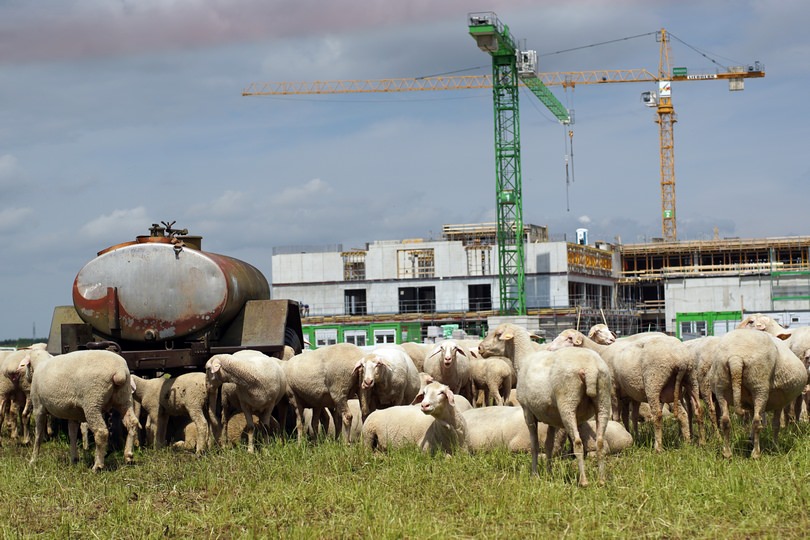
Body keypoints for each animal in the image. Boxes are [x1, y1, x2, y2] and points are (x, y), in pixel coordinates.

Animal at [476, 322, 608, 488]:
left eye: (498, 334)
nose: (480, 348)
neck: (523, 360)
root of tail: (590, 368)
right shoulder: (551, 418)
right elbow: (549, 445)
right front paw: (549, 473)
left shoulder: (527, 412)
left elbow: (535, 445)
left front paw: (535, 475)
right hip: (603, 401)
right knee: (600, 441)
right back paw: (602, 480)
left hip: (568, 404)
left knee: (578, 442)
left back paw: (583, 481)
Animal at [712, 326, 804, 458]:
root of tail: (736, 357)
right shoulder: (779, 402)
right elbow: (775, 424)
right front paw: (775, 447)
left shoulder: (751, 403)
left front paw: (750, 440)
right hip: (759, 384)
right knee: (756, 421)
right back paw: (755, 454)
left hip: (721, 384)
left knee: (725, 420)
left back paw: (727, 453)